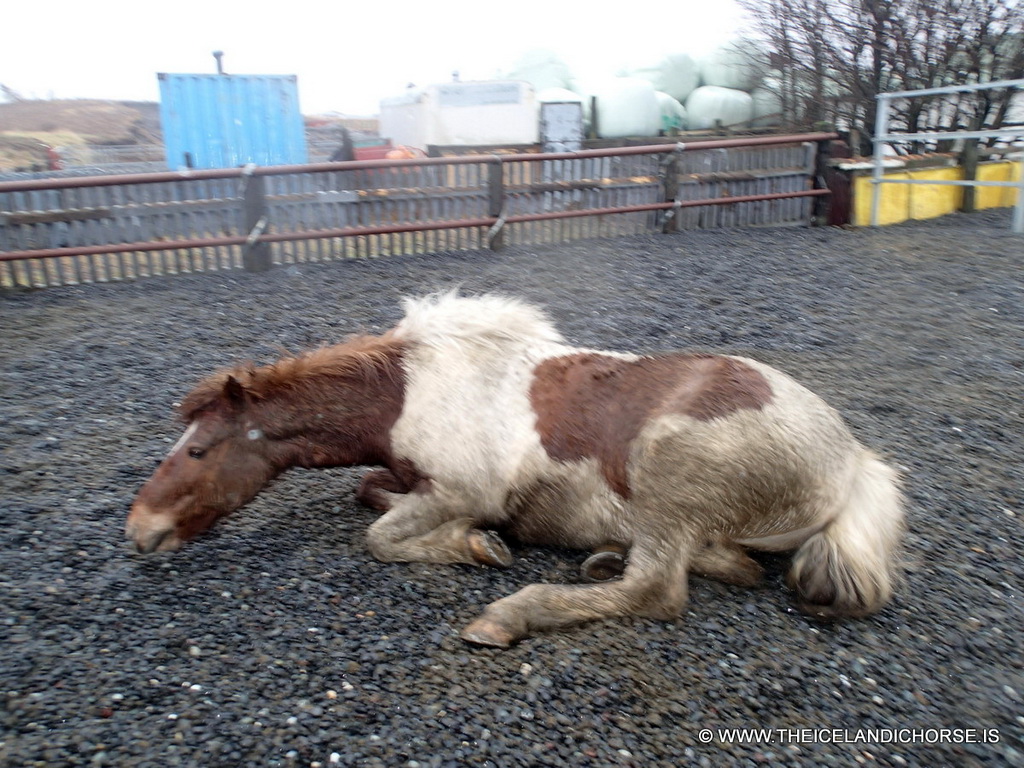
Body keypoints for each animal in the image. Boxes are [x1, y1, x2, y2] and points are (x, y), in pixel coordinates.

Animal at [128, 294, 905, 651]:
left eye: (198, 451)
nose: (139, 528)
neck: (411, 390)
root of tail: (852, 461)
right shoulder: (415, 483)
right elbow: (372, 493)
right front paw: (473, 537)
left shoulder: (460, 488)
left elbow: (380, 536)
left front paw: (474, 545)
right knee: (721, 564)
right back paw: (608, 553)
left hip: (665, 468)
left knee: (658, 590)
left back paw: (511, 613)